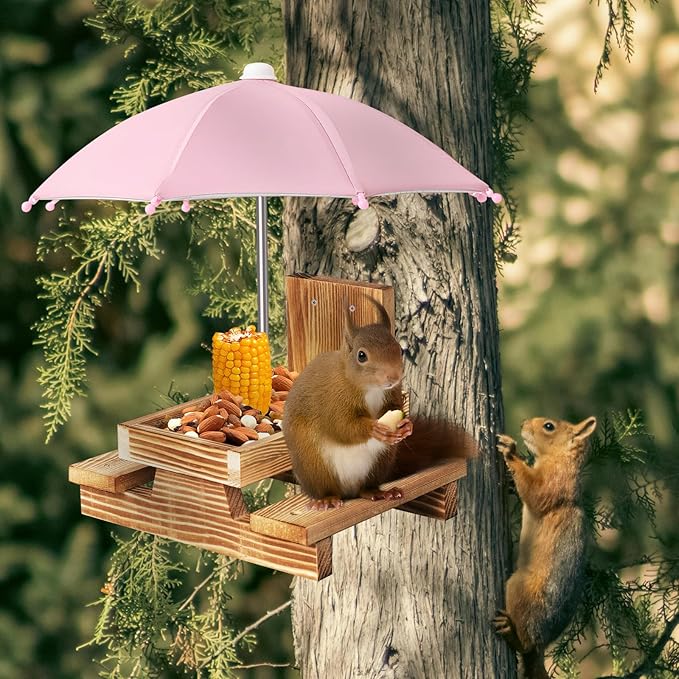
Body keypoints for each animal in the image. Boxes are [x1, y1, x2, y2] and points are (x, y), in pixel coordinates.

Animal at [284, 297, 473, 510]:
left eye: (399, 349)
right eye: (361, 355)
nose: (393, 377)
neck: (371, 389)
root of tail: (348, 491)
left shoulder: (393, 393)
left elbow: (395, 408)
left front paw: (407, 426)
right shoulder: (332, 399)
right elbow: (341, 426)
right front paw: (373, 428)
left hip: (381, 460)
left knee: (366, 488)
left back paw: (377, 492)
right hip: (313, 464)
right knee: (324, 486)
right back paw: (326, 499)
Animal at [494, 416, 597, 679]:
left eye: (549, 426)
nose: (522, 424)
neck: (559, 459)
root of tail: (542, 644)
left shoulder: (554, 484)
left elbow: (534, 492)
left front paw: (511, 451)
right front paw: (510, 481)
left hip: (520, 589)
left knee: (526, 644)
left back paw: (511, 632)